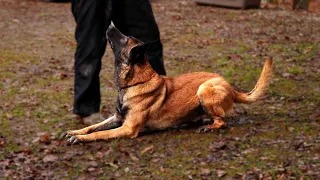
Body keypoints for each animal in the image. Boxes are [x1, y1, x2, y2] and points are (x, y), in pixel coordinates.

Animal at [64, 26, 272, 144]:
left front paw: (80, 138)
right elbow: (94, 127)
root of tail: (231, 87)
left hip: (203, 89)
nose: (109, 25)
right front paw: (76, 131)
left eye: (124, 38)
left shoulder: (127, 128)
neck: (134, 83)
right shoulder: (117, 118)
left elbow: (99, 134)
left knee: (222, 121)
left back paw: (209, 126)